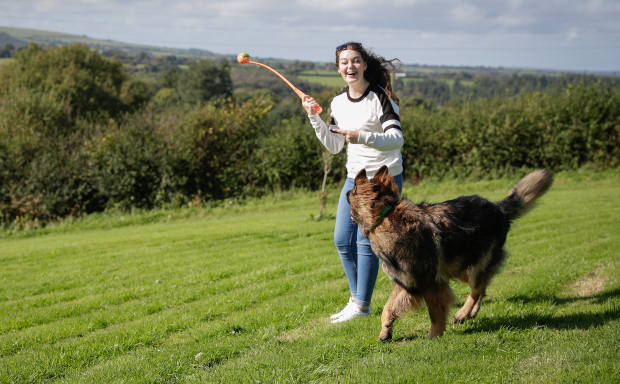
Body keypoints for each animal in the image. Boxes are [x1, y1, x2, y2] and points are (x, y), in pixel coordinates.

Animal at [346, 165, 556, 340]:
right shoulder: (407, 283)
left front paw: (435, 336)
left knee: (476, 290)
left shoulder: (431, 284)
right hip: (461, 269)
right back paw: (471, 313)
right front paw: (385, 331)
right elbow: (388, 307)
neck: (385, 217)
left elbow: (435, 313)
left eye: (353, 190)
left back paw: (463, 313)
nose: (346, 192)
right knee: (483, 288)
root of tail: (498, 207)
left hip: (475, 268)